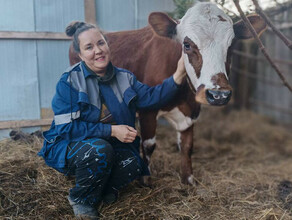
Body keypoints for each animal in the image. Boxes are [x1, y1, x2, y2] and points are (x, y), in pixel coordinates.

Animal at [69, 2, 266, 186]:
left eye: (232, 45)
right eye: (187, 44)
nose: (219, 94)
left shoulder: (191, 112)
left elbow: (187, 146)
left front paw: (188, 181)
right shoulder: (147, 110)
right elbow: (148, 145)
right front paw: (146, 180)